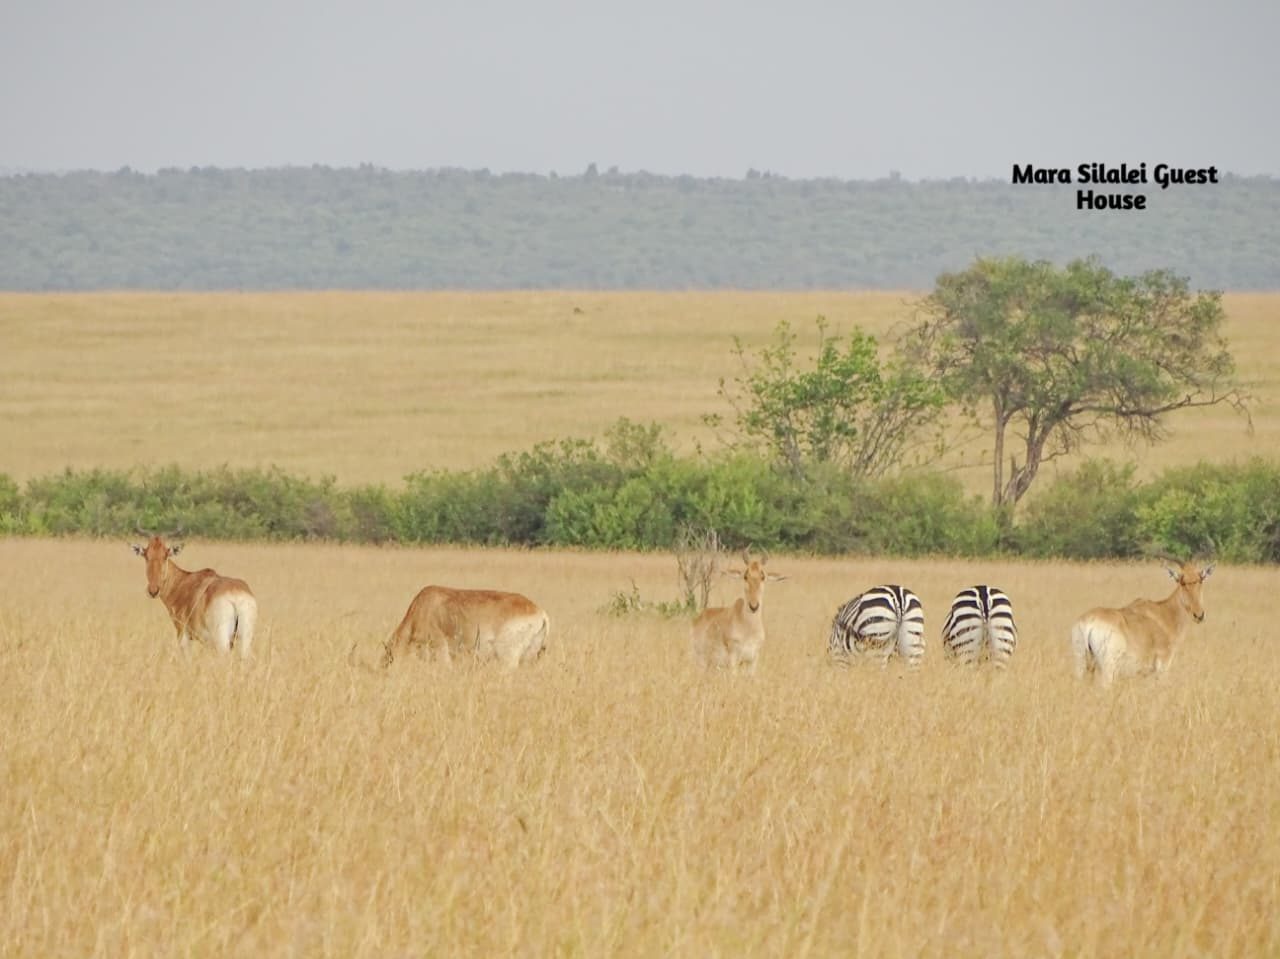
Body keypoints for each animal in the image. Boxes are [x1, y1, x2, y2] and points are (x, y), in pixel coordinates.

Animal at [1071, 558, 1214, 686]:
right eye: (1182, 582)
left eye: (1200, 580)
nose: (1199, 615)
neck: (1163, 612)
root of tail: (1088, 622)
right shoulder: (1162, 666)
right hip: (1108, 667)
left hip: (1082, 663)